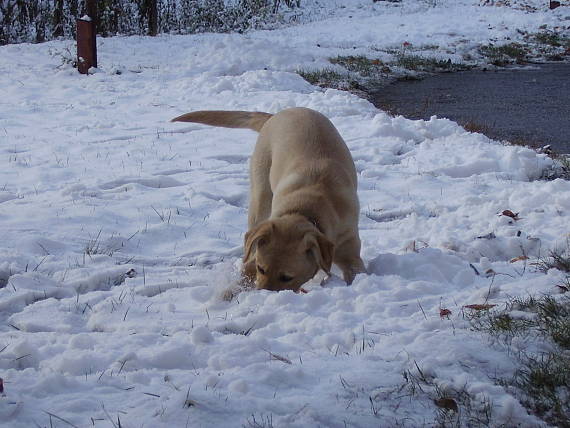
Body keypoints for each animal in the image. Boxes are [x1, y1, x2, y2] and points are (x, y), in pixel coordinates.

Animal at [171, 108, 364, 294]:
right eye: (261, 269)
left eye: (287, 277)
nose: (262, 294)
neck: (308, 208)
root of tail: (277, 114)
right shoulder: (256, 254)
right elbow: (244, 272)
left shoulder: (349, 250)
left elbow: (356, 270)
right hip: (260, 194)